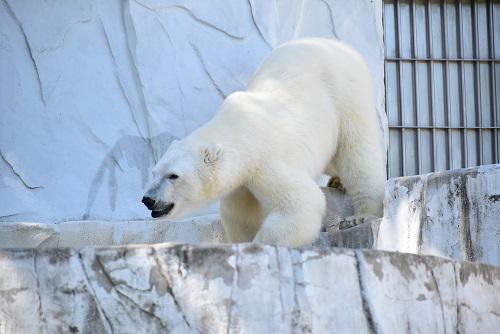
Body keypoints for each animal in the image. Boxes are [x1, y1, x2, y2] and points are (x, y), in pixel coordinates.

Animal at [142, 38, 386, 248]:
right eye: (154, 172)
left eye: (173, 175)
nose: (148, 199)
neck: (240, 127)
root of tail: (340, 45)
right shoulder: (239, 183)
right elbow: (241, 215)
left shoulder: (265, 161)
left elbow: (301, 203)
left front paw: (258, 245)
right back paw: (337, 181)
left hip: (346, 93)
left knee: (357, 153)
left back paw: (361, 215)